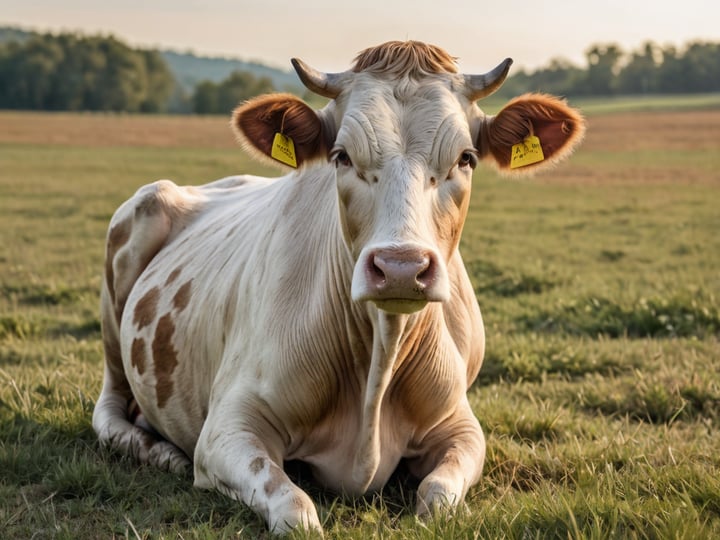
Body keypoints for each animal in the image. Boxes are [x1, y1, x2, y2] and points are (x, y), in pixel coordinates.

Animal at [93, 41, 585, 534]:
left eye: (465, 158)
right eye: (342, 156)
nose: (401, 267)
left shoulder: (460, 423)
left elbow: (438, 498)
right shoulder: (226, 427)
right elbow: (295, 512)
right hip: (128, 258)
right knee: (109, 409)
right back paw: (160, 452)